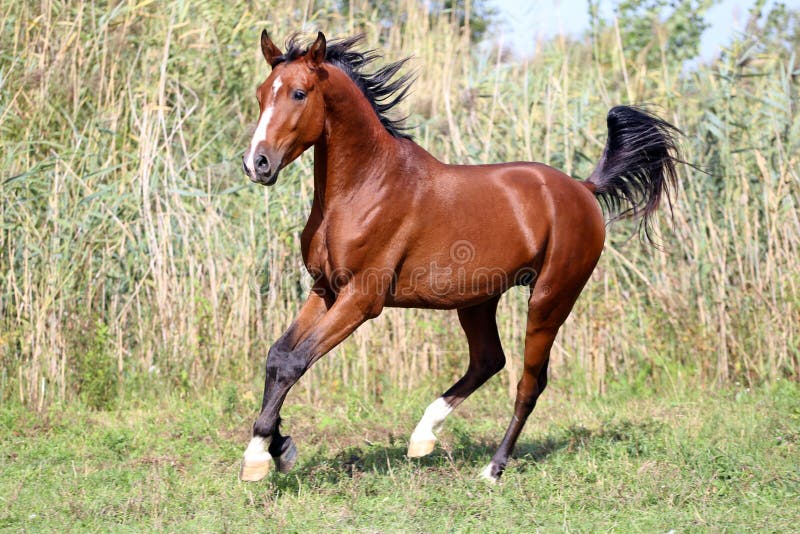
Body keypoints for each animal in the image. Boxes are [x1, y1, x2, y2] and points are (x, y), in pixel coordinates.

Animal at [239, 32, 680, 486]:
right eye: (260, 94)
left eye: (299, 93)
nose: (257, 164)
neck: (366, 186)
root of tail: (584, 189)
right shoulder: (325, 288)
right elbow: (278, 355)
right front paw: (277, 447)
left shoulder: (361, 299)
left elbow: (296, 361)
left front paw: (259, 457)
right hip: (477, 300)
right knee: (489, 359)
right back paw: (423, 436)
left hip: (549, 299)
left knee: (529, 382)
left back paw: (492, 469)